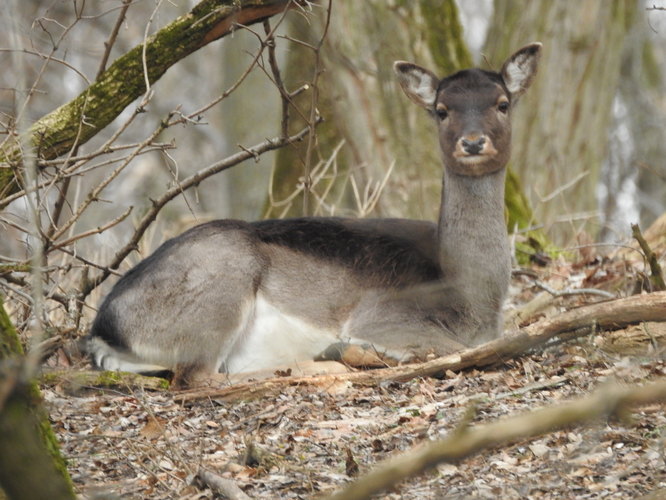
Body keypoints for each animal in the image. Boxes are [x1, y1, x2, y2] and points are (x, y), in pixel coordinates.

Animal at [87, 43, 540, 386]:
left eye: (502, 103)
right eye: (442, 109)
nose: (473, 142)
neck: (470, 296)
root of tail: (104, 326)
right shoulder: (384, 314)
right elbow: (449, 347)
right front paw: (354, 349)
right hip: (221, 286)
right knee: (197, 377)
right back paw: (317, 363)